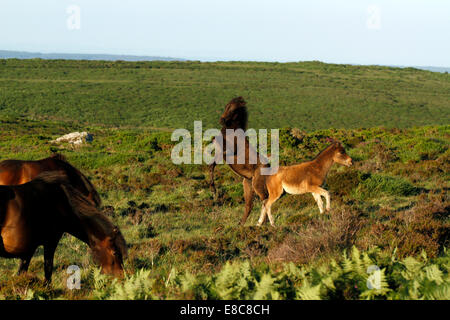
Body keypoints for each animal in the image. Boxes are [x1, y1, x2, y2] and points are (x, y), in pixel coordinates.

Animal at [209, 97, 268, 225]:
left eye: (234, 109)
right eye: (227, 106)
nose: (222, 120)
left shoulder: (228, 150)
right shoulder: (220, 153)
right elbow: (211, 166)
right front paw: (213, 190)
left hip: (257, 185)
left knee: (265, 200)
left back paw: (262, 224)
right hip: (248, 184)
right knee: (249, 206)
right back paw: (241, 224)